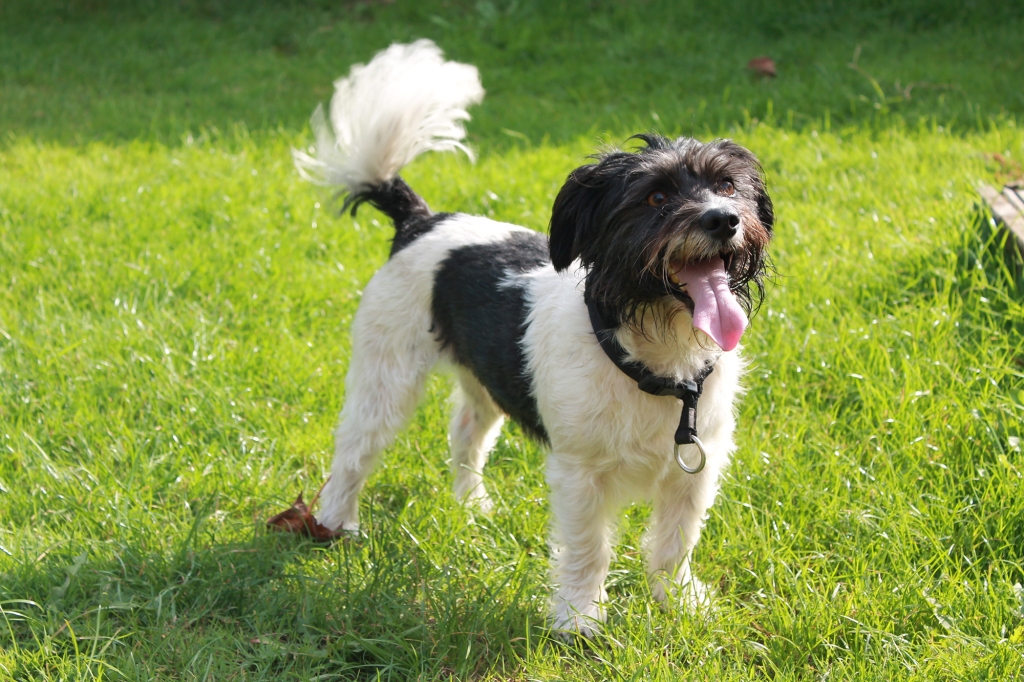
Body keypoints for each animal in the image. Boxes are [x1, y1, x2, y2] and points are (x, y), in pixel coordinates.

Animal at [292, 38, 770, 630]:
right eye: (655, 198)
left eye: (727, 185)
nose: (724, 219)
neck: (656, 356)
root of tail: (420, 219)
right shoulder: (580, 474)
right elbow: (589, 547)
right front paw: (579, 619)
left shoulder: (696, 467)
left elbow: (675, 541)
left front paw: (678, 602)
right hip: (386, 376)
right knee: (355, 450)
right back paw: (335, 524)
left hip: (484, 380)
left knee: (466, 432)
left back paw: (472, 507)